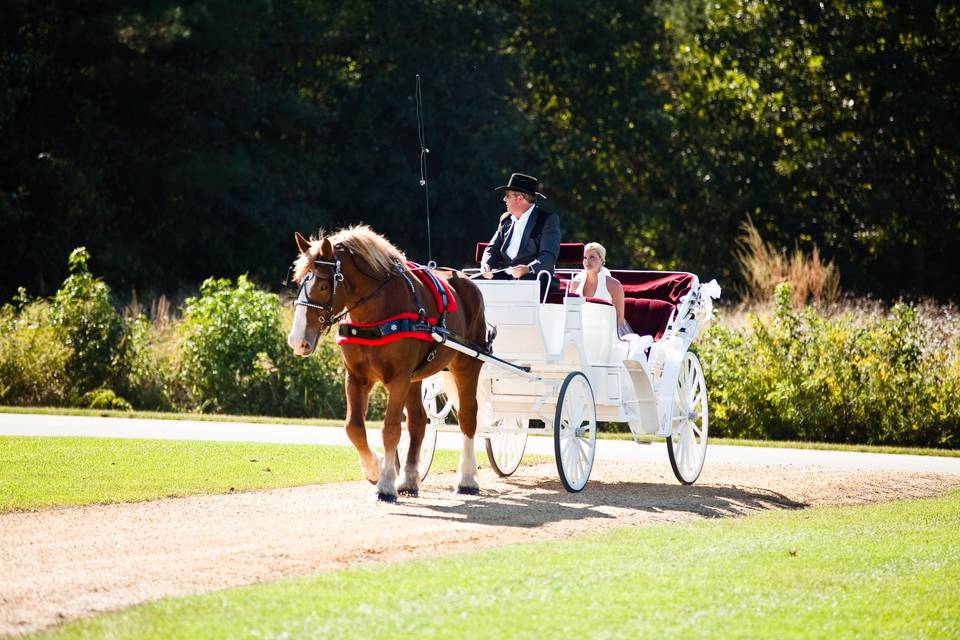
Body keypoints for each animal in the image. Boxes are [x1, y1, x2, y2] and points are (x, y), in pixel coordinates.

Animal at [286, 228, 488, 502]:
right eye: (298, 282)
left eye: (324, 285)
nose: (297, 341)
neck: (376, 313)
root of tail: (467, 281)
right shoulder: (356, 377)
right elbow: (354, 427)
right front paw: (375, 469)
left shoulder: (399, 378)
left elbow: (390, 429)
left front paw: (384, 484)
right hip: (417, 377)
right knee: (417, 421)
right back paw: (409, 480)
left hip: (467, 365)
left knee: (467, 417)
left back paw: (466, 479)